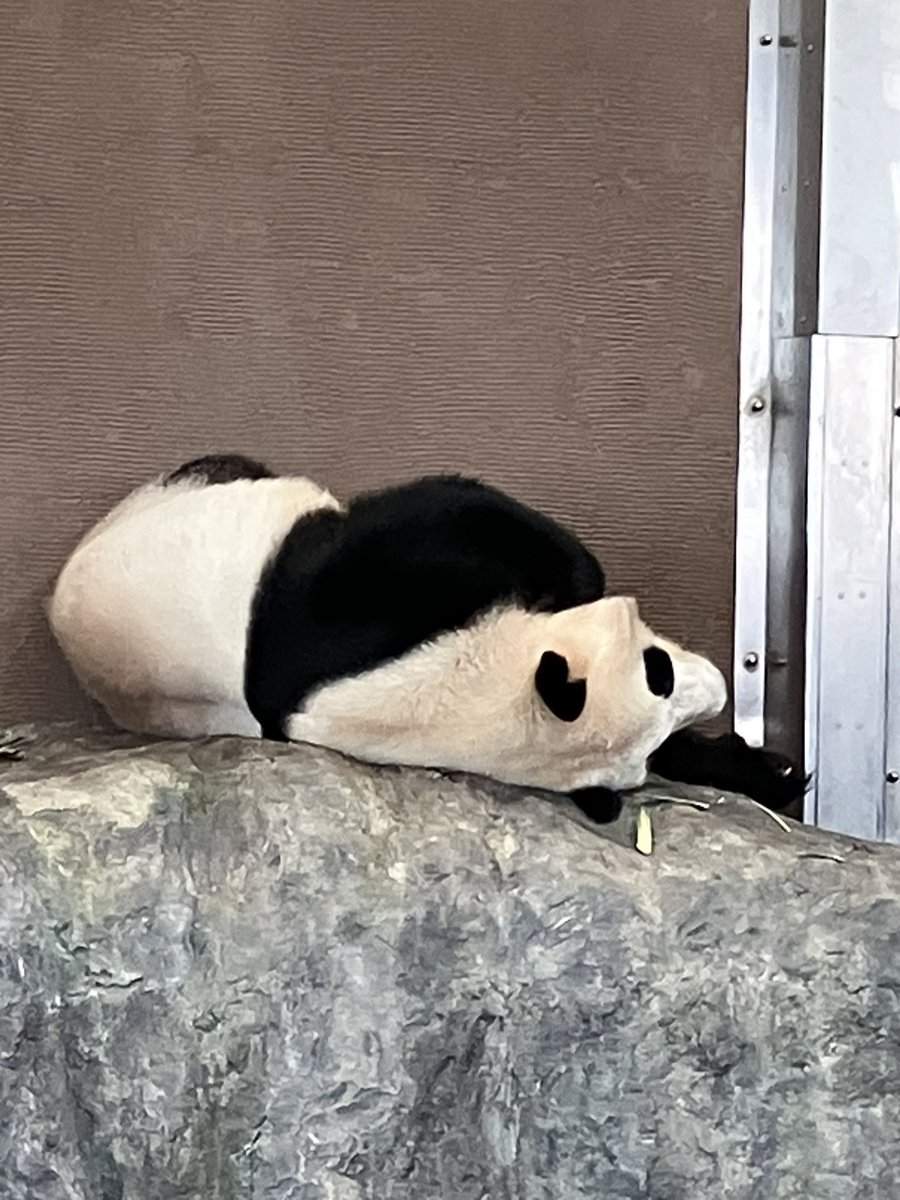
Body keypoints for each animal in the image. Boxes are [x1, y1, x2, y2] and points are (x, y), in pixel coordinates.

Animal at [48, 453, 805, 824]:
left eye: (652, 748)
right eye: (657, 671)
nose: (720, 688)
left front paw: (766, 771)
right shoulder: (346, 630)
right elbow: (446, 512)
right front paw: (577, 574)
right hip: (188, 501)